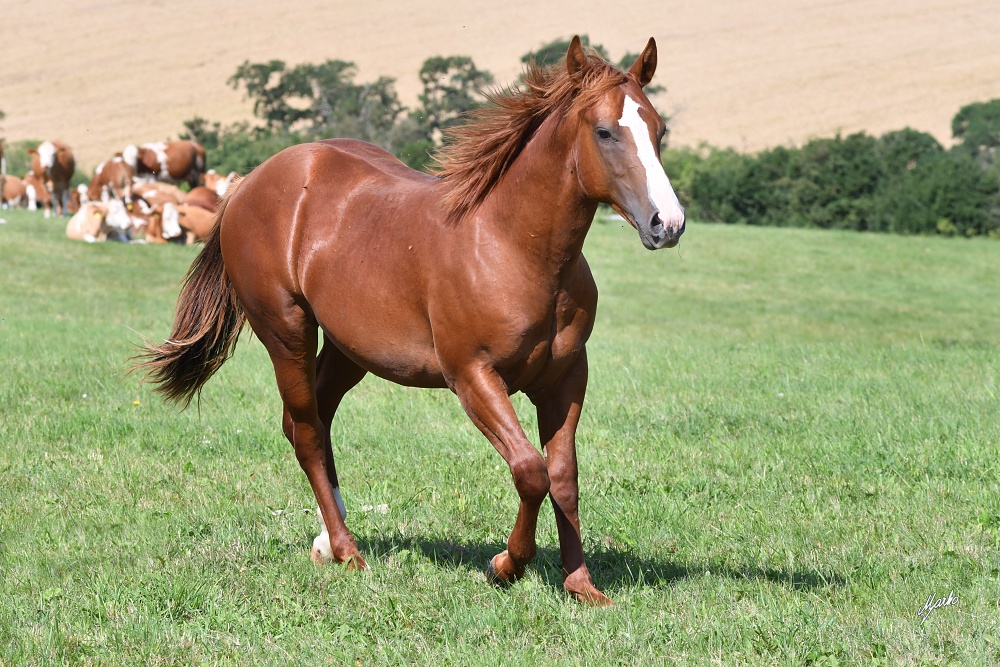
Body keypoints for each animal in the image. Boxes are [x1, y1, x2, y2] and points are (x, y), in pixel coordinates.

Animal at [133, 37, 684, 612]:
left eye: (659, 128)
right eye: (604, 131)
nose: (667, 224)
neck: (513, 246)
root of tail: (247, 184)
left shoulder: (566, 379)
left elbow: (564, 478)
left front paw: (581, 585)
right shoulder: (473, 377)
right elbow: (530, 472)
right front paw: (505, 566)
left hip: (348, 351)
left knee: (315, 422)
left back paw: (326, 541)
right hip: (287, 333)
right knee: (304, 431)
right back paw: (348, 552)